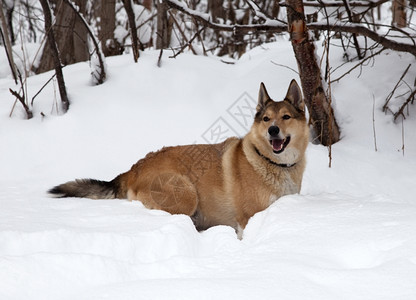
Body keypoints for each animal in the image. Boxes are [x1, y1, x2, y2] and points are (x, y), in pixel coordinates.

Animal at [48, 80, 308, 239]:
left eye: (285, 117)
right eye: (266, 119)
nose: (273, 130)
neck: (274, 164)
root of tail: (133, 169)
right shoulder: (246, 219)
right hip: (186, 193)